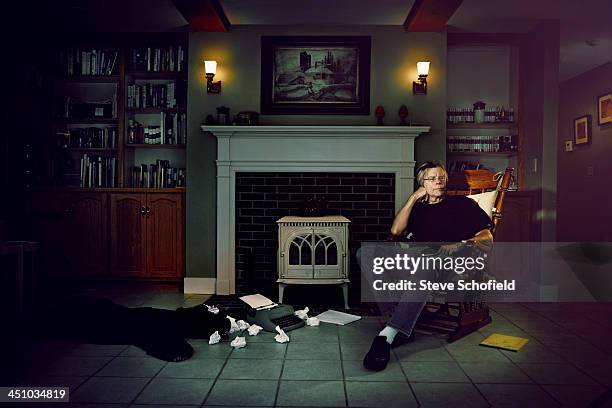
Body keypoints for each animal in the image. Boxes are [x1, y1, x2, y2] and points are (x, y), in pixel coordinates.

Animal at [19, 298, 230, 362]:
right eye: (213, 316)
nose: (228, 323)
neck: (174, 319)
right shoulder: (159, 334)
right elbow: (178, 344)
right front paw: (179, 353)